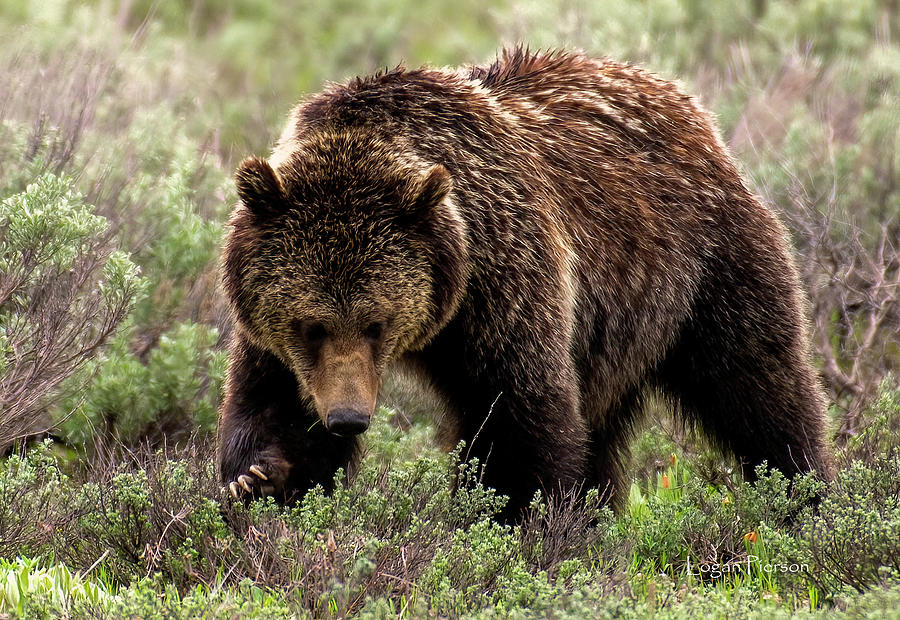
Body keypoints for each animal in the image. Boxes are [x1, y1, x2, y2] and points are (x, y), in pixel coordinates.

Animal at [218, 46, 836, 516]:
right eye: (312, 326)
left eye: (377, 323)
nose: (348, 418)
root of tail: (686, 104)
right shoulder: (266, 320)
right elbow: (269, 400)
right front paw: (262, 475)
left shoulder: (504, 283)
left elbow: (521, 420)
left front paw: (516, 520)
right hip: (613, 337)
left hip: (703, 269)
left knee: (760, 388)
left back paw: (808, 497)